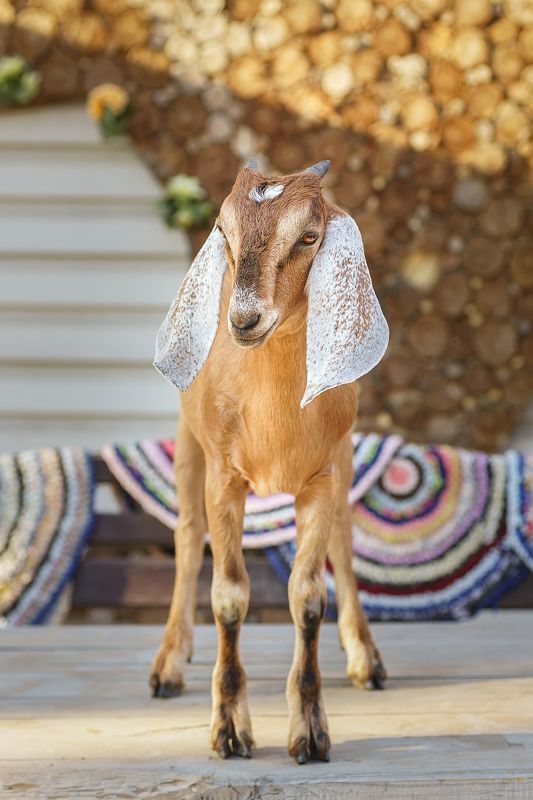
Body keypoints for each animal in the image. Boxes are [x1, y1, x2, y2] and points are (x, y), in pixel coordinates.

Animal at [151, 159, 389, 764]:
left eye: (309, 236)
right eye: (223, 230)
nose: (243, 319)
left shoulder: (322, 476)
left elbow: (308, 597)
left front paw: (310, 733)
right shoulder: (223, 476)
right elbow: (229, 594)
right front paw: (230, 731)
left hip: (345, 455)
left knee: (345, 537)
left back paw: (367, 658)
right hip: (188, 442)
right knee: (187, 534)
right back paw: (168, 665)